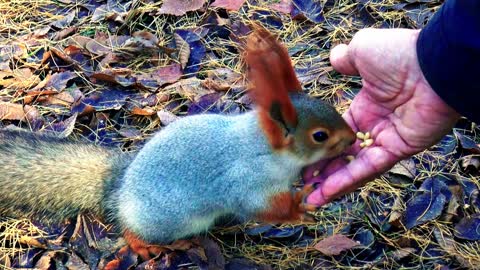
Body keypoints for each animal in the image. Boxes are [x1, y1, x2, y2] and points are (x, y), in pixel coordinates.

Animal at [0, 26, 354, 264]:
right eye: (319, 135)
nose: (352, 140)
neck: (264, 148)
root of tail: (119, 187)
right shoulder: (245, 180)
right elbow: (260, 208)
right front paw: (298, 207)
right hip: (166, 220)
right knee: (131, 230)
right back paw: (144, 245)